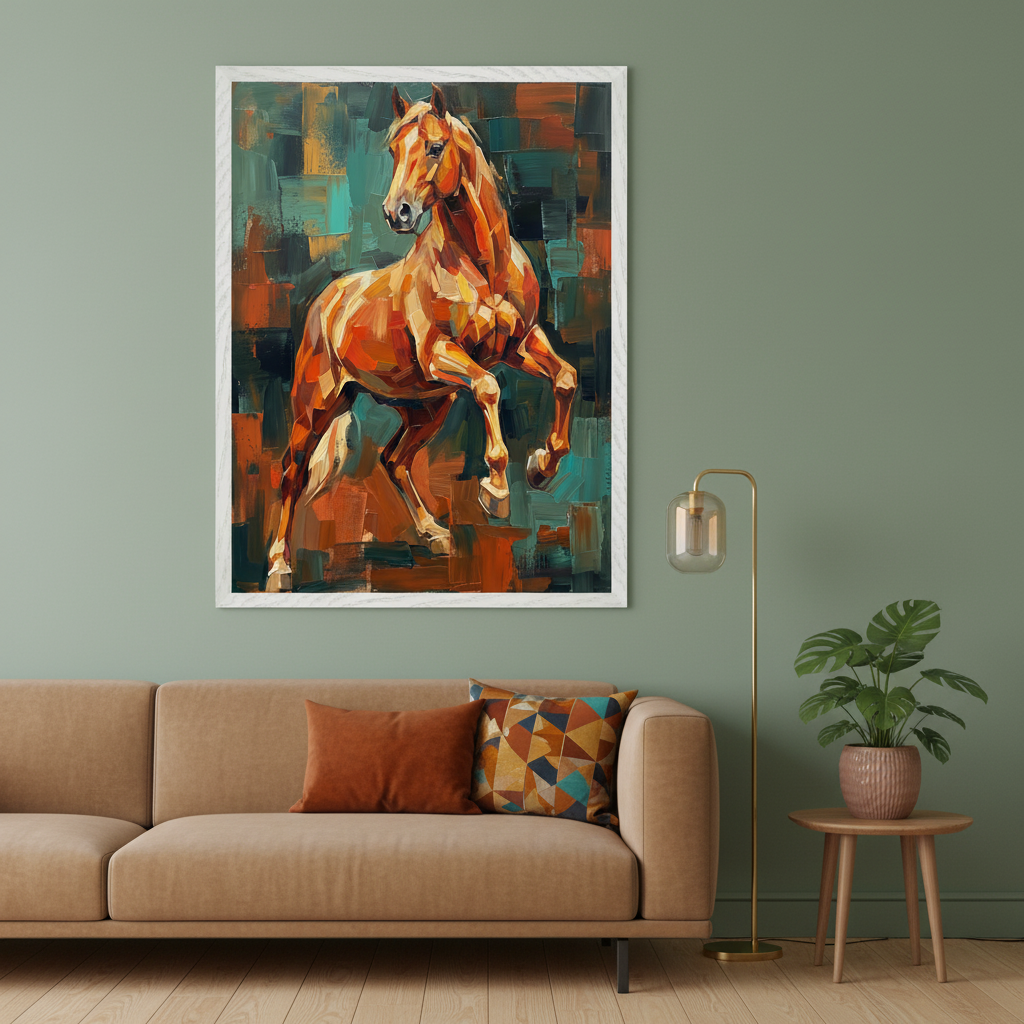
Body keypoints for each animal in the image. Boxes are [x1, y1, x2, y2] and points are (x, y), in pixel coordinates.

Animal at [266, 84, 579, 592]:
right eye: (393, 149)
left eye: (434, 146)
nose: (398, 213)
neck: (483, 266)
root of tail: (325, 300)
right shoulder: (443, 355)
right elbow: (489, 388)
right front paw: (496, 491)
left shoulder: (519, 344)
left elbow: (565, 378)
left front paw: (540, 466)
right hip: (314, 407)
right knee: (292, 474)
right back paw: (279, 567)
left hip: (429, 406)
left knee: (393, 460)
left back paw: (434, 534)